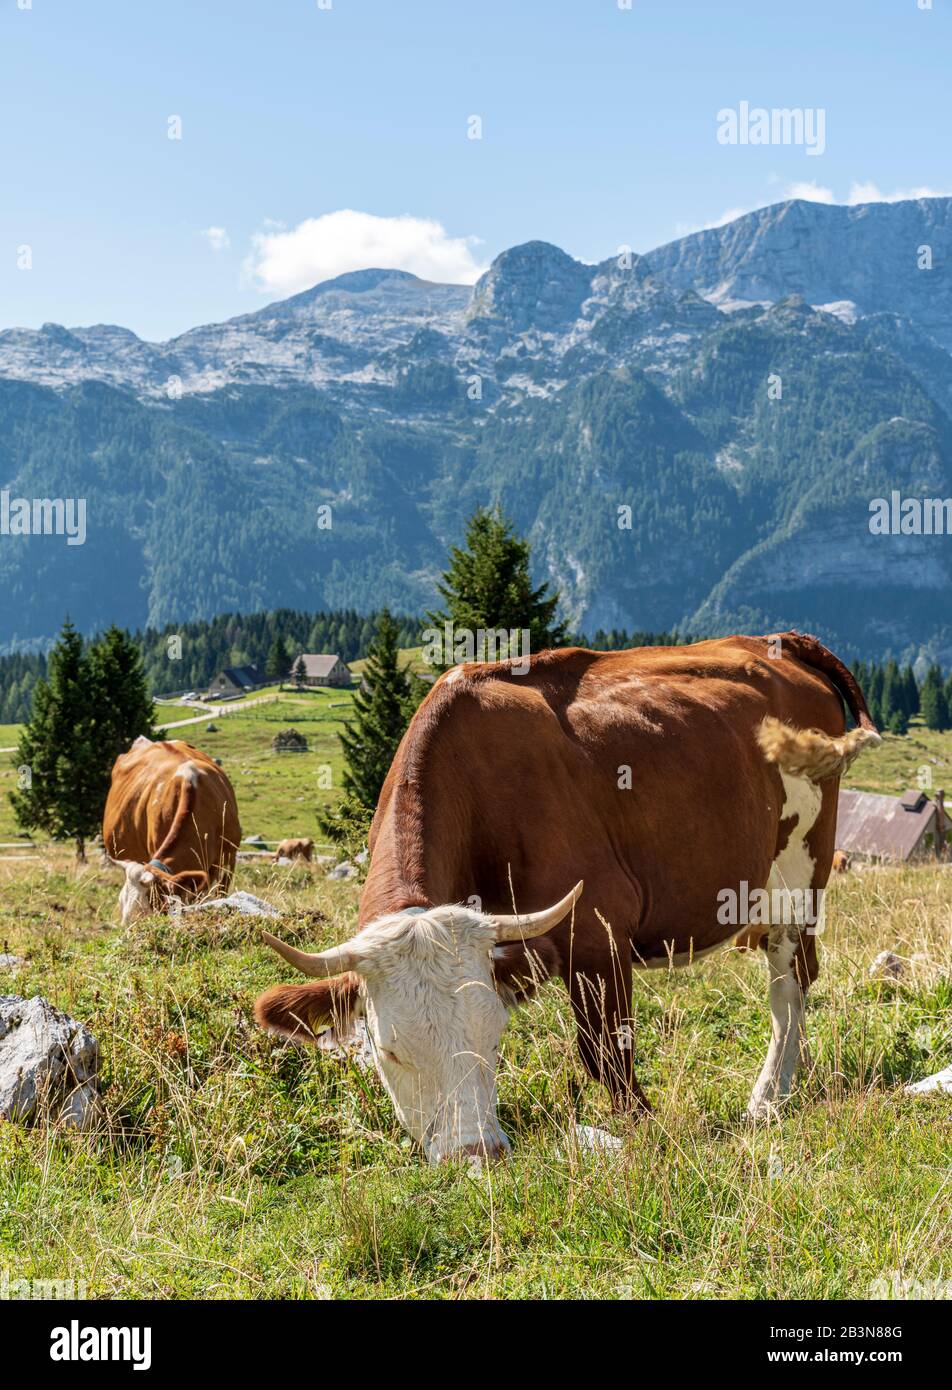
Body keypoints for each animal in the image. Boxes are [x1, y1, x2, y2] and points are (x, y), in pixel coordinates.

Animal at [254, 631, 878, 1162]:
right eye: (389, 1052)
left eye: (494, 1037)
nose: (476, 1154)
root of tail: (778, 642)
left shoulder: (599, 930)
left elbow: (606, 1053)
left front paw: (642, 1128)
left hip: (799, 870)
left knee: (788, 982)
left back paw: (769, 1096)